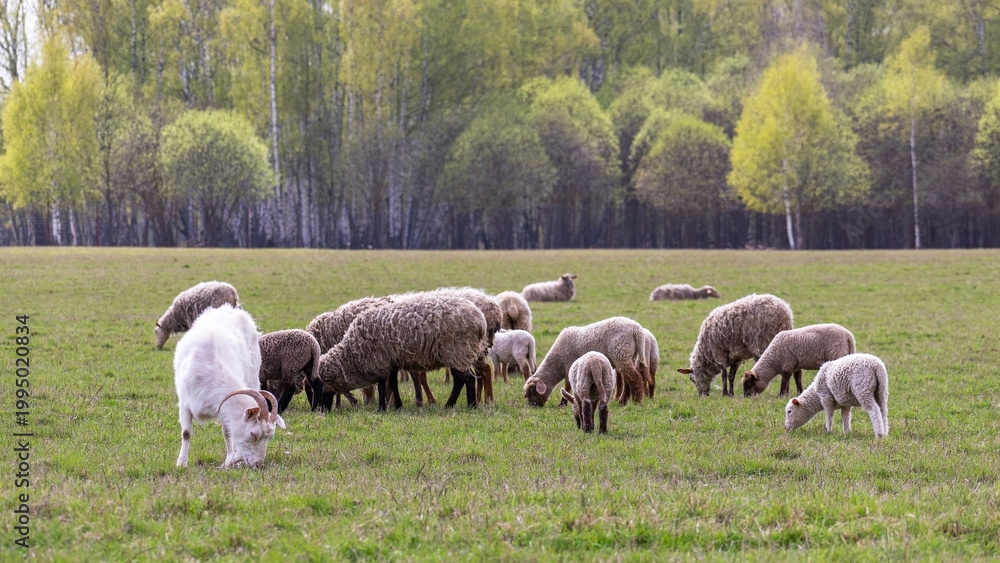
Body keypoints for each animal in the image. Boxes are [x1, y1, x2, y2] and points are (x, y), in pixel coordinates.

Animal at [174, 304, 286, 469]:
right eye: (253, 434)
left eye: (269, 437)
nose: (258, 464)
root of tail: (233, 309)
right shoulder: (185, 402)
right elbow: (186, 433)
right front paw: (181, 463)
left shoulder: (223, 409)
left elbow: (227, 433)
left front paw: (231, 460)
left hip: (253, 375)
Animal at [317, 294, 488, 411]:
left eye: (321, 385)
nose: (320, 410)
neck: (353, 354)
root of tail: (480, 319)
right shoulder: (391, 361)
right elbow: (393, 383)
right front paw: (397, 406)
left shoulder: (380, 361)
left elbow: (382, 385)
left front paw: (381, 408)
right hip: (455, 354)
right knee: (460, 380)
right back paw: (450, 405)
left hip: (458, 350)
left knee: (468, 379)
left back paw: (471, 405)